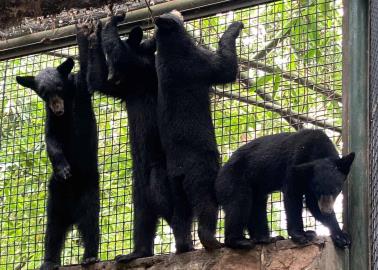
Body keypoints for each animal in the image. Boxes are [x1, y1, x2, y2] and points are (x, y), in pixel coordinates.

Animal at [155, 10, 244, 251]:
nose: (176, 12)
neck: (169, 50)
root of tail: (180, 169)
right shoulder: (200, 62)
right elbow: (226, 69)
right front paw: (235, 26)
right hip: (201, 174)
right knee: (206, 203)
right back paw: (212, 242)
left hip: (176, 185)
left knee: (180, 216)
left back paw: (184, 246)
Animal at [216, 129, 354, 249]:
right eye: (318, 190)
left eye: (336, 189)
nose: (327, 211)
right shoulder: (296, 165)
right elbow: (293, 196)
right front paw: (301, 235)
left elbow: (312, 204)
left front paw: (341, 237)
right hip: (233, 178)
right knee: (239, 203)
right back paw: (239, 241)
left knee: (257, 208)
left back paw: (265, 238)